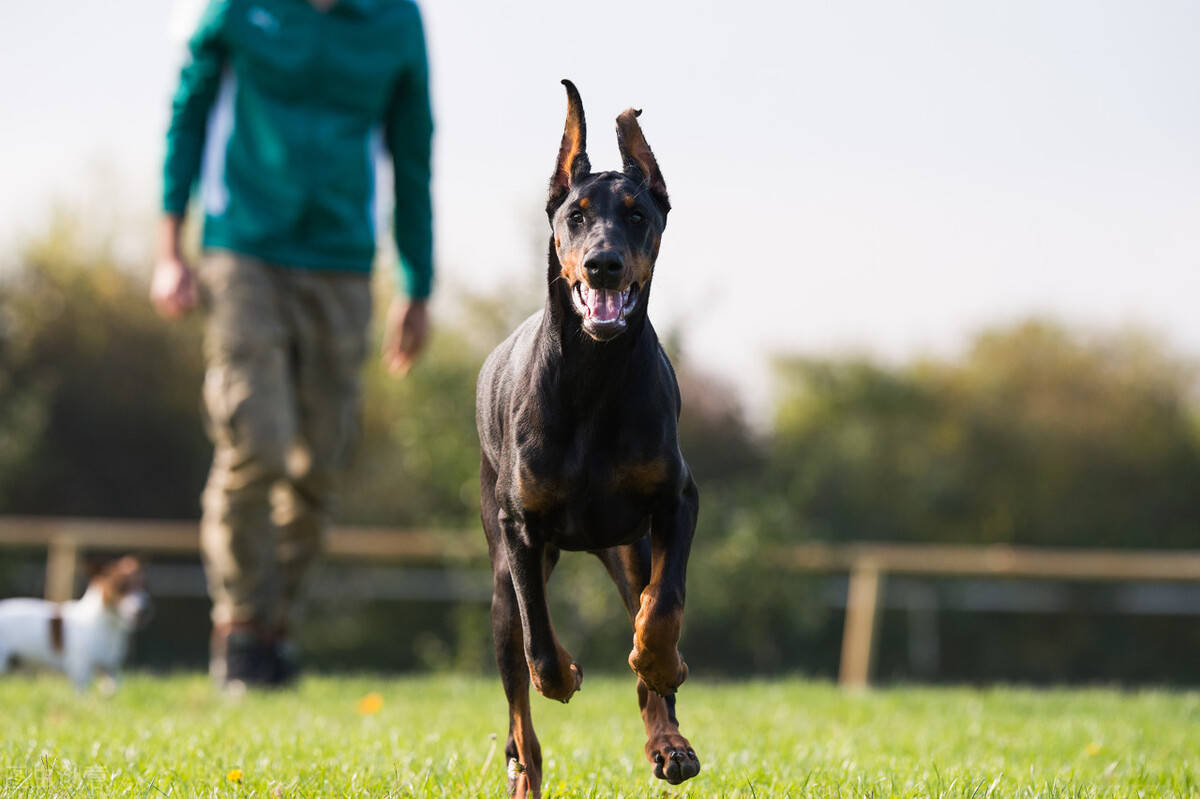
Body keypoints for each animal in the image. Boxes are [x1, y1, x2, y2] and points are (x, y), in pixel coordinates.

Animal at [475, 79, 700, 791]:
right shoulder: (519, 527)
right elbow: (539, 647)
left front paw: (662, 662)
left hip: (626, 547)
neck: (594, 375)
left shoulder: (675, 500)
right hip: (501, 573)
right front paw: (568, 669)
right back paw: (525, 772)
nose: (603, 265)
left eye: (637, 214)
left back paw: (669, 742)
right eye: (575, 216)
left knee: (645, 605)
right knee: (518, 680)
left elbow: (664, 605)